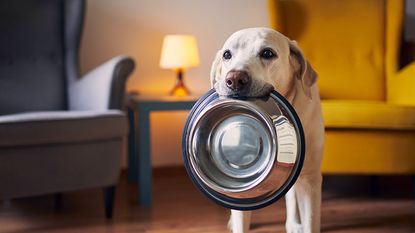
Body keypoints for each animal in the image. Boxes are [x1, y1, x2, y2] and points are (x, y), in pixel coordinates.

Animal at [211, 27, 324, 233]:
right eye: (227, 55)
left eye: (267, 53)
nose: (234, 79)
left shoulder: (310, 178)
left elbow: (311, 221)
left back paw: (293, 223)